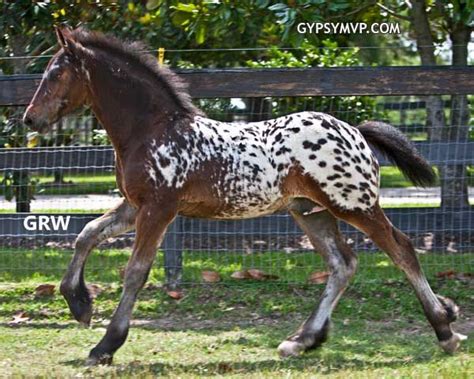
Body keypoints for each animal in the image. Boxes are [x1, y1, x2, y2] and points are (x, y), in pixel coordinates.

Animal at [23, 26, 466, 366]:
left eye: (54, 74)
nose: (30, 118)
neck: (152, 129)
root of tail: (355, 131)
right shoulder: (135, 206)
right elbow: (86, 235)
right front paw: (79, 304)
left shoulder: (159, 209)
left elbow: (135, 271)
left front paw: (105, 345)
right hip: (311, 212)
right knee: (343, 264)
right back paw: (302, 340)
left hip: (354, 204)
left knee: (402, 249)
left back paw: (444, 329)